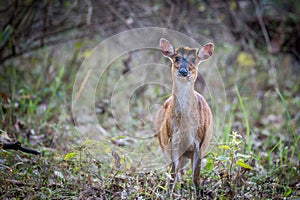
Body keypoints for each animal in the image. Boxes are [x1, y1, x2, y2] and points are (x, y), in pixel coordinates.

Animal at [155, 38, 213, 198]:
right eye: (176, 58)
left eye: (194, 59)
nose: (183, 71)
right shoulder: (172, 141)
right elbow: (172, 175)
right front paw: (168, 195)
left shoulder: (199, 142)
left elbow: (196, 177)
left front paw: (199, 194)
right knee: (177, 172)